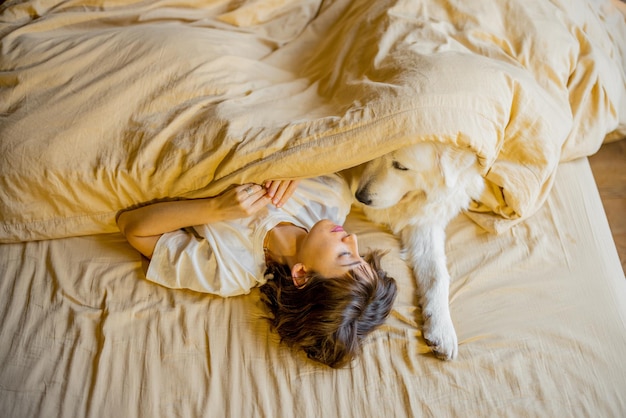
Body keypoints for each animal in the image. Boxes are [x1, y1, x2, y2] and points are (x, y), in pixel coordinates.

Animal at [344, 141, 480, 360]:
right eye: (371, 155)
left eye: (401, 166)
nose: (360, 196)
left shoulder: (425, 221)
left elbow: (437, 275)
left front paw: (441, 327)